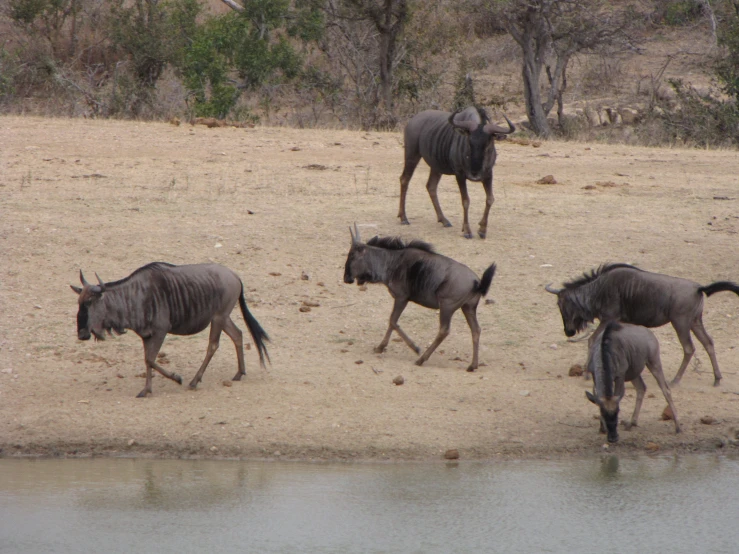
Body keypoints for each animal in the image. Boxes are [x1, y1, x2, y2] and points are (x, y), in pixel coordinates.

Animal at [71, 260, 268, 394]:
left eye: (89, 302)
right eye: (79, 302)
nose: (82, 335)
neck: (134, 296)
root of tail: (235, 276)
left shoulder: (160, 331)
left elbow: (151, 359)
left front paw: (176, 378)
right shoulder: (146, 335)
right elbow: (147, 360)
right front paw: (147, 390)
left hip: (218, 318)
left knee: (213, 345)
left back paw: (194, 381)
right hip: (223, 318)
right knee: (238, 334)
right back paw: (239, 373)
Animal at [342, 224, 494, 370]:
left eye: (352, 256)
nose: (346, 278)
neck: (391, 262)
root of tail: (477, 282)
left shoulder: (401, 298)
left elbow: (393, 321)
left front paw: (414, 348)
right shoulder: (401, 299)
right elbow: (392, 322)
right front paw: (380, 347)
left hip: (447, 307)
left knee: (444, 331)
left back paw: (421, 359)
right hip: (468, 308)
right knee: (476, 330)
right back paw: (472, 365)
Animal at [544, 262, 739, 384]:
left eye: (562, 305)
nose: (568, 332)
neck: (599, 289)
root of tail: (699, 288)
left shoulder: (608, 318)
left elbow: (592, 340)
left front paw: (586, 374)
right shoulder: (619, 322)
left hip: (681, 323)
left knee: (689, 348)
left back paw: (675, 380)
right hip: (695, 322)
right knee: (708, 343)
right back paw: (717, 379)